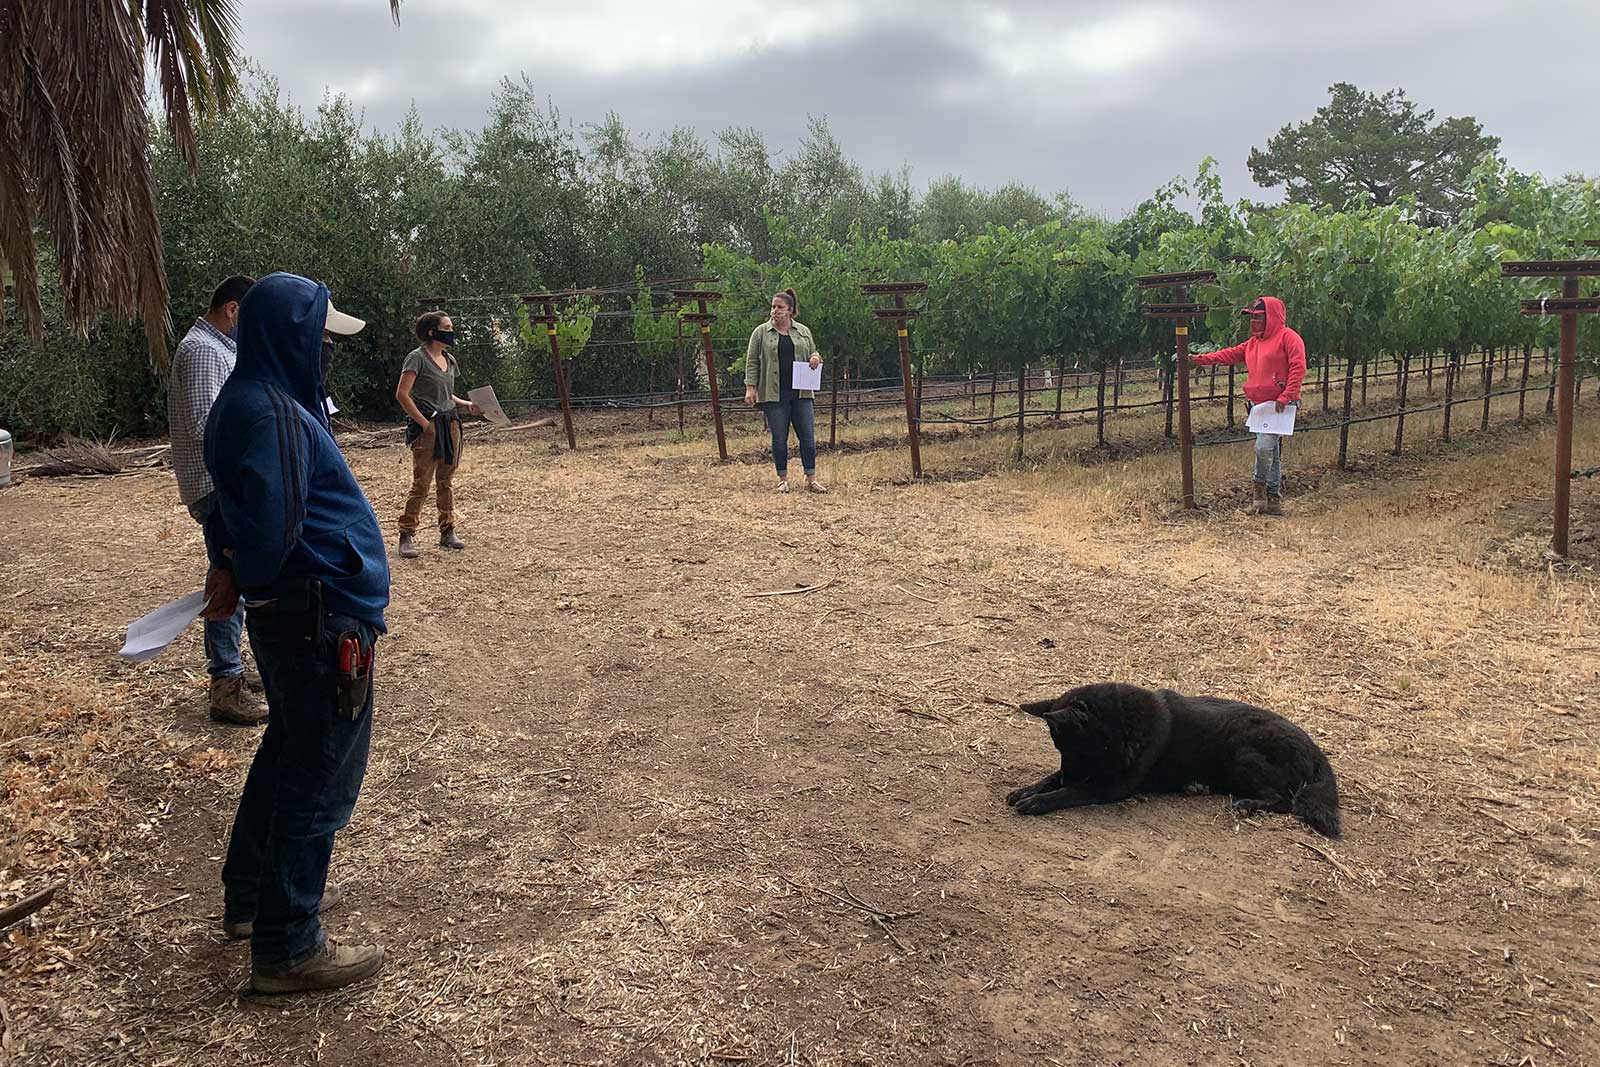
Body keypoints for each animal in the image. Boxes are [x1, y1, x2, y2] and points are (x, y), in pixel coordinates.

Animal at [1011, 681, 1337, 838]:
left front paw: (1039, 800)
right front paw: (1027, 789)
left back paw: (1247, 804)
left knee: (1284, 799)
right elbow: (1052, 778)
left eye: (1073, 749)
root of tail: (1317, 752)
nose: (1068, 774)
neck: (1123, 724)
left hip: (1242, 752)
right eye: (1060, 750)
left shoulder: (1112, 785)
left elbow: (1072, 791)